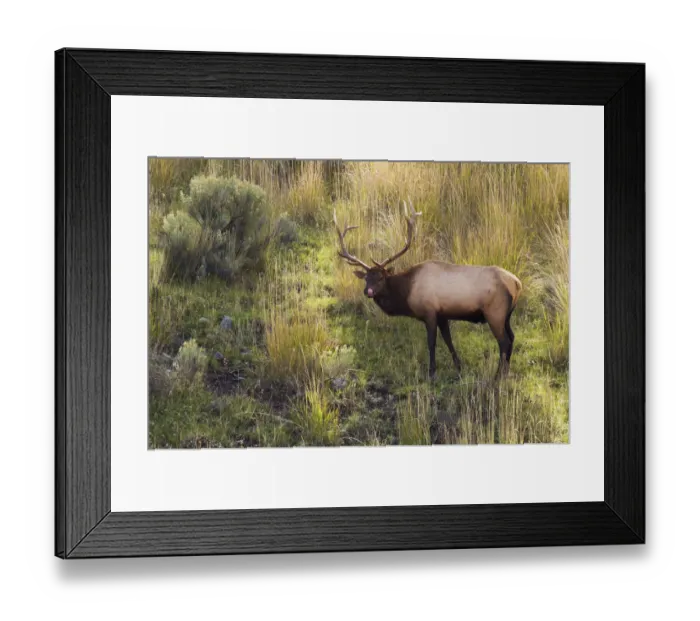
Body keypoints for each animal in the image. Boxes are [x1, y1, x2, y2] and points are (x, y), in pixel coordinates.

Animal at [333, 200, 522, 380]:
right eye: (366, 278)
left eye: (380, 277)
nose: (368, 291)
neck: (407, 293)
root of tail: (517, 283)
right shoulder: (443, 314)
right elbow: (448, 340)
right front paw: (459, 367)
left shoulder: (429, 312)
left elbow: (431, 343)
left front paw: (432, 373)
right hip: (506, 315)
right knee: (512, 337)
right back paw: (506, 372)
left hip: (495, 312)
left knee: (504, 342)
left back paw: (498, 376)